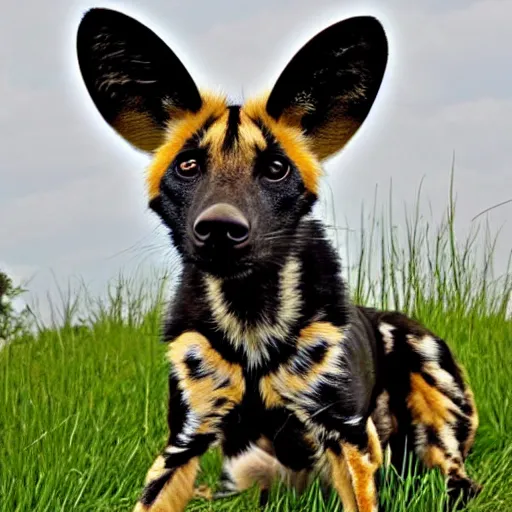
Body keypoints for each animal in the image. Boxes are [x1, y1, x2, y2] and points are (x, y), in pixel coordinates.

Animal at [76, 9, 480, 512]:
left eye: (275, 168)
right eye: (187, 166)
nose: (220, 229)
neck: (251, 320)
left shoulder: (346, 436)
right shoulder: (185, 440)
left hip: (426, 377)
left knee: (452, 472)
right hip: (246, 473)